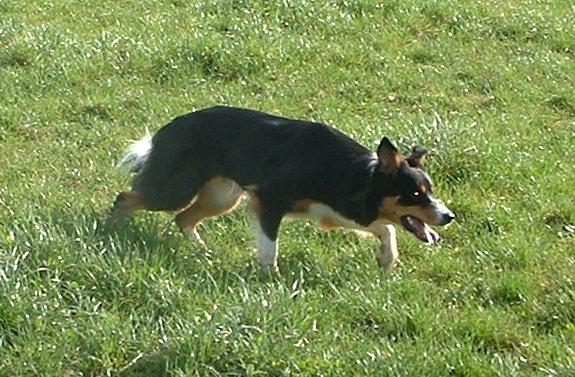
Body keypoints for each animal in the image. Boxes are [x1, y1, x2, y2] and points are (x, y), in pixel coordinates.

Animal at [110, 106, 456, 270]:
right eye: (415, 195)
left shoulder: (338, 211)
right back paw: (112, 231)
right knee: (126, 197)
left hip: (221, 197)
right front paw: (270, 278)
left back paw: (202, 251)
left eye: (430, 191)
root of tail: (167, 129)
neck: (355, 175)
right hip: (175, 189)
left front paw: (387, 259)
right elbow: (269, 246)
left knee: (182, 218)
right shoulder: (269, 199)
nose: (449, 216)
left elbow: (387, 229)